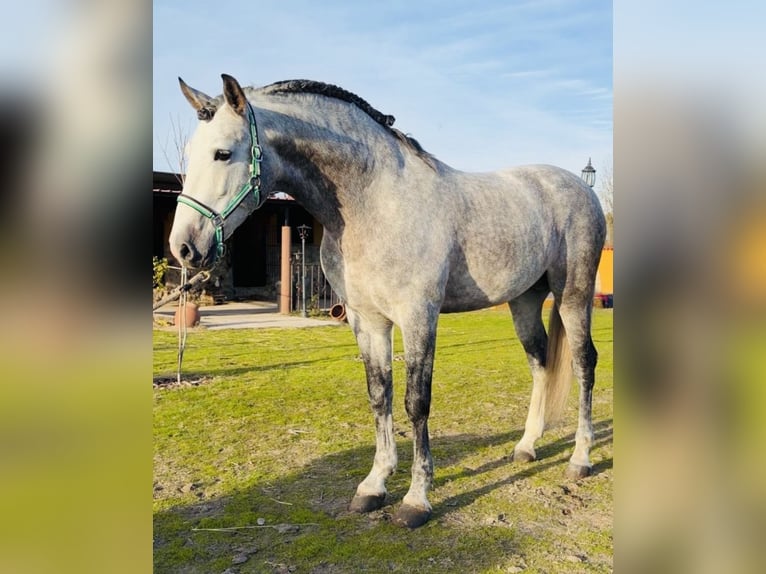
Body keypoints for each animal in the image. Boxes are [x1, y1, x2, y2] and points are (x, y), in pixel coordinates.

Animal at [169, 74, 606, 529]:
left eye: (223, 153)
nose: (183, 248)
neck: (375, 203)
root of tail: (579, 186)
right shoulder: (367, 320)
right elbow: (380, 395)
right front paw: (374, 485)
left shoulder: (418, 317)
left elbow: (417, 401)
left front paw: (416, 499)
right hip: (524, 302)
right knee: (540, 363)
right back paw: (526, 447)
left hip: (574, 296)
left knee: (583, 364)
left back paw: (580, 458)